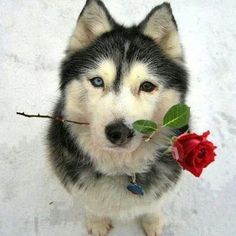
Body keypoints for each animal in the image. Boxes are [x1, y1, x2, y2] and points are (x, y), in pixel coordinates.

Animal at [47, 0, 188, 235]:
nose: (119, 133)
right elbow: (92, 205)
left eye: (147, 86)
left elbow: (152, 206)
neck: (122, 168)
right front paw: (97, 222)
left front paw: (152, 221)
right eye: (97, 81)